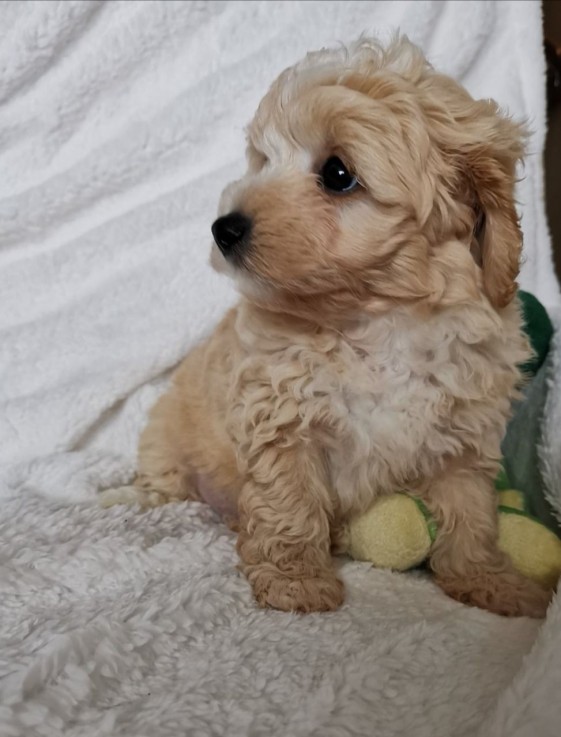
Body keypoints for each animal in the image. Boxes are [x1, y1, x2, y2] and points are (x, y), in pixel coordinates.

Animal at [104, 37, 552, 620]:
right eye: (264, 160)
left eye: (338, 174)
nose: (223, 228)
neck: (379, 317)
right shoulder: (283, 420)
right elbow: (289, 502)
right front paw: (294, 579)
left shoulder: (462, 436)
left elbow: (471, 513)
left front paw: (490, 581)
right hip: (167, 438)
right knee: (163, 481)